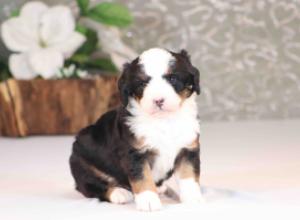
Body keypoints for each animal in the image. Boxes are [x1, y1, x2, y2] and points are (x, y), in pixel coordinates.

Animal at [69, 47, 203, 211]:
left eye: (172, 78)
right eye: (142, 83)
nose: (158, 100)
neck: (164, 121)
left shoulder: (187, 149)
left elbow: (188, 176)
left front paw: (193, 198)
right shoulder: (135, 153)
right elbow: (142, 177)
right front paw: (149, 200)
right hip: (83, 164)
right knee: (90, 186)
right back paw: (119, 193)